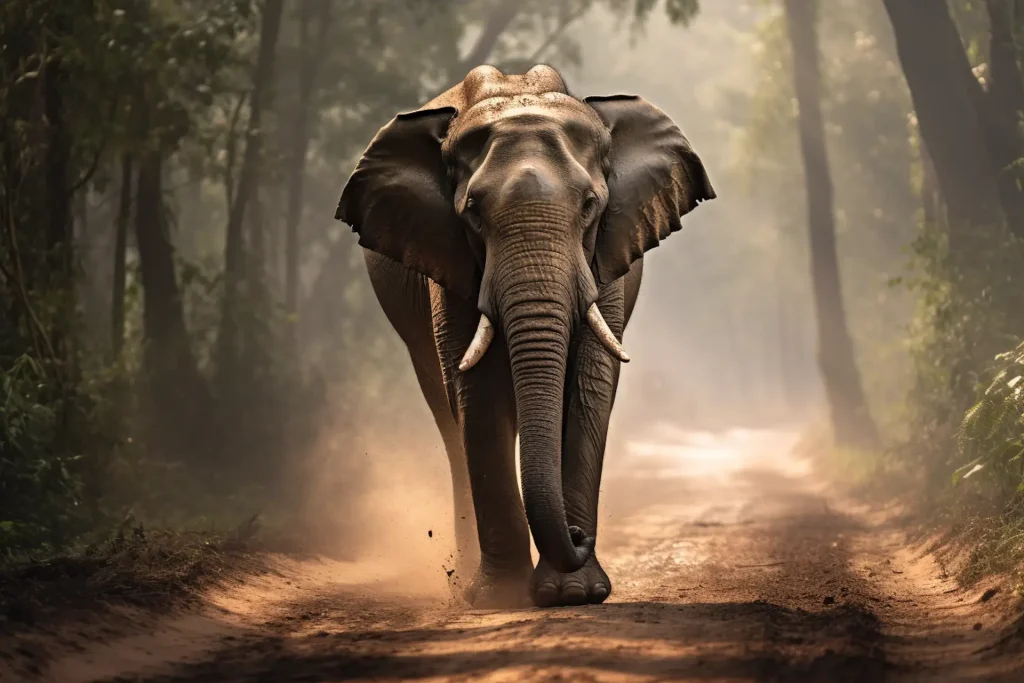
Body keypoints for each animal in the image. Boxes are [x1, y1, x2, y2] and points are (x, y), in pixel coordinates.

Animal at [335, 65, 715, 608]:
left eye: (590, 206)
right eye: (472, 212)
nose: (579, 536)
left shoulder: (605, 257)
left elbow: (590, 385)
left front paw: (575, 593)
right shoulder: (448, 257)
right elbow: (476, 392)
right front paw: (502, 598)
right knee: (448, 416)